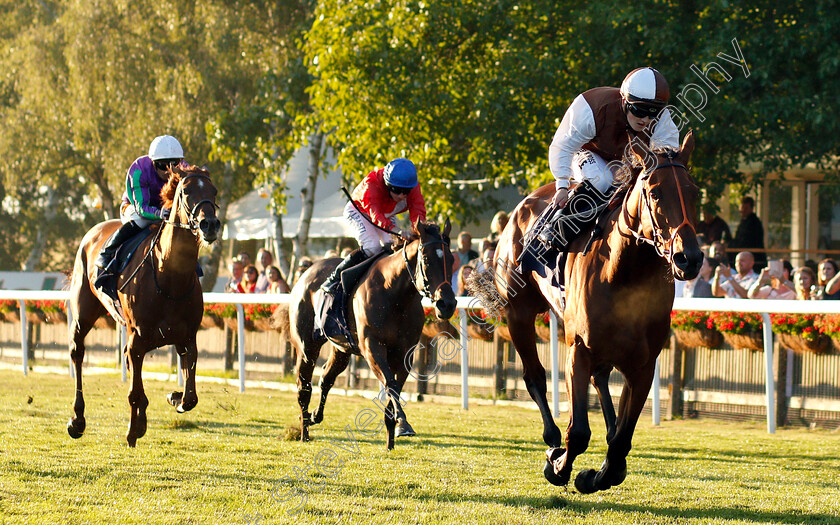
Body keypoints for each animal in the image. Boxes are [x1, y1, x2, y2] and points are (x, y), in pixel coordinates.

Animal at [67, 165, 220, 446]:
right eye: (185, 191)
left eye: (213, 191)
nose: (210, 225)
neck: (169, 277)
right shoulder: (137, 338)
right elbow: (134, 393)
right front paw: (132, 431)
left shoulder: (186, 338)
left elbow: (190, 397)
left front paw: (174, 397)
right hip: (84, 312)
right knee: (77, 352)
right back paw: (77, 420)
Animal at [290, 219, 460, 448]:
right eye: (426, 259)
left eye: (451, 259)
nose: (447, 304)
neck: (394, 294)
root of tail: (306, 272)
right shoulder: (373, 347)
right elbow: (390, 384)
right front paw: (403, 424)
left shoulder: (405, 353)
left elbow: (394, 388)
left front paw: (392, 438)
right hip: (307, 346)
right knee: (304, 386)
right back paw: (304, 430)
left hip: (342, 348)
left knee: (326, 377)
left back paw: (315, 416)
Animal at [472, 131, 704, 492]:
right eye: (654, 192)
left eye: (694, 193)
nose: (688, 258)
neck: (624, 273)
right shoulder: (578, 349)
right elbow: (578, 432)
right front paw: (559, 466)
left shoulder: (643, 364)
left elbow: (622, 441)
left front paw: (598, 473)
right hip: (519, 314)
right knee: (535, 377)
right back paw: (551, 439)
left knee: (600, 380)